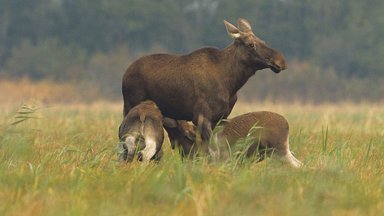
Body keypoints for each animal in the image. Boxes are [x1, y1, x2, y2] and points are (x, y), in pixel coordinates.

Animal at [121, 18, 286, 153]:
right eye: (251, 45)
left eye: (264, 42)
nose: (280, 61)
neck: (231, 83)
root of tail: (126, 73)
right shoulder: (201, 116)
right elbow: (212, 149)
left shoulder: (220, 118)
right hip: (130, 106)